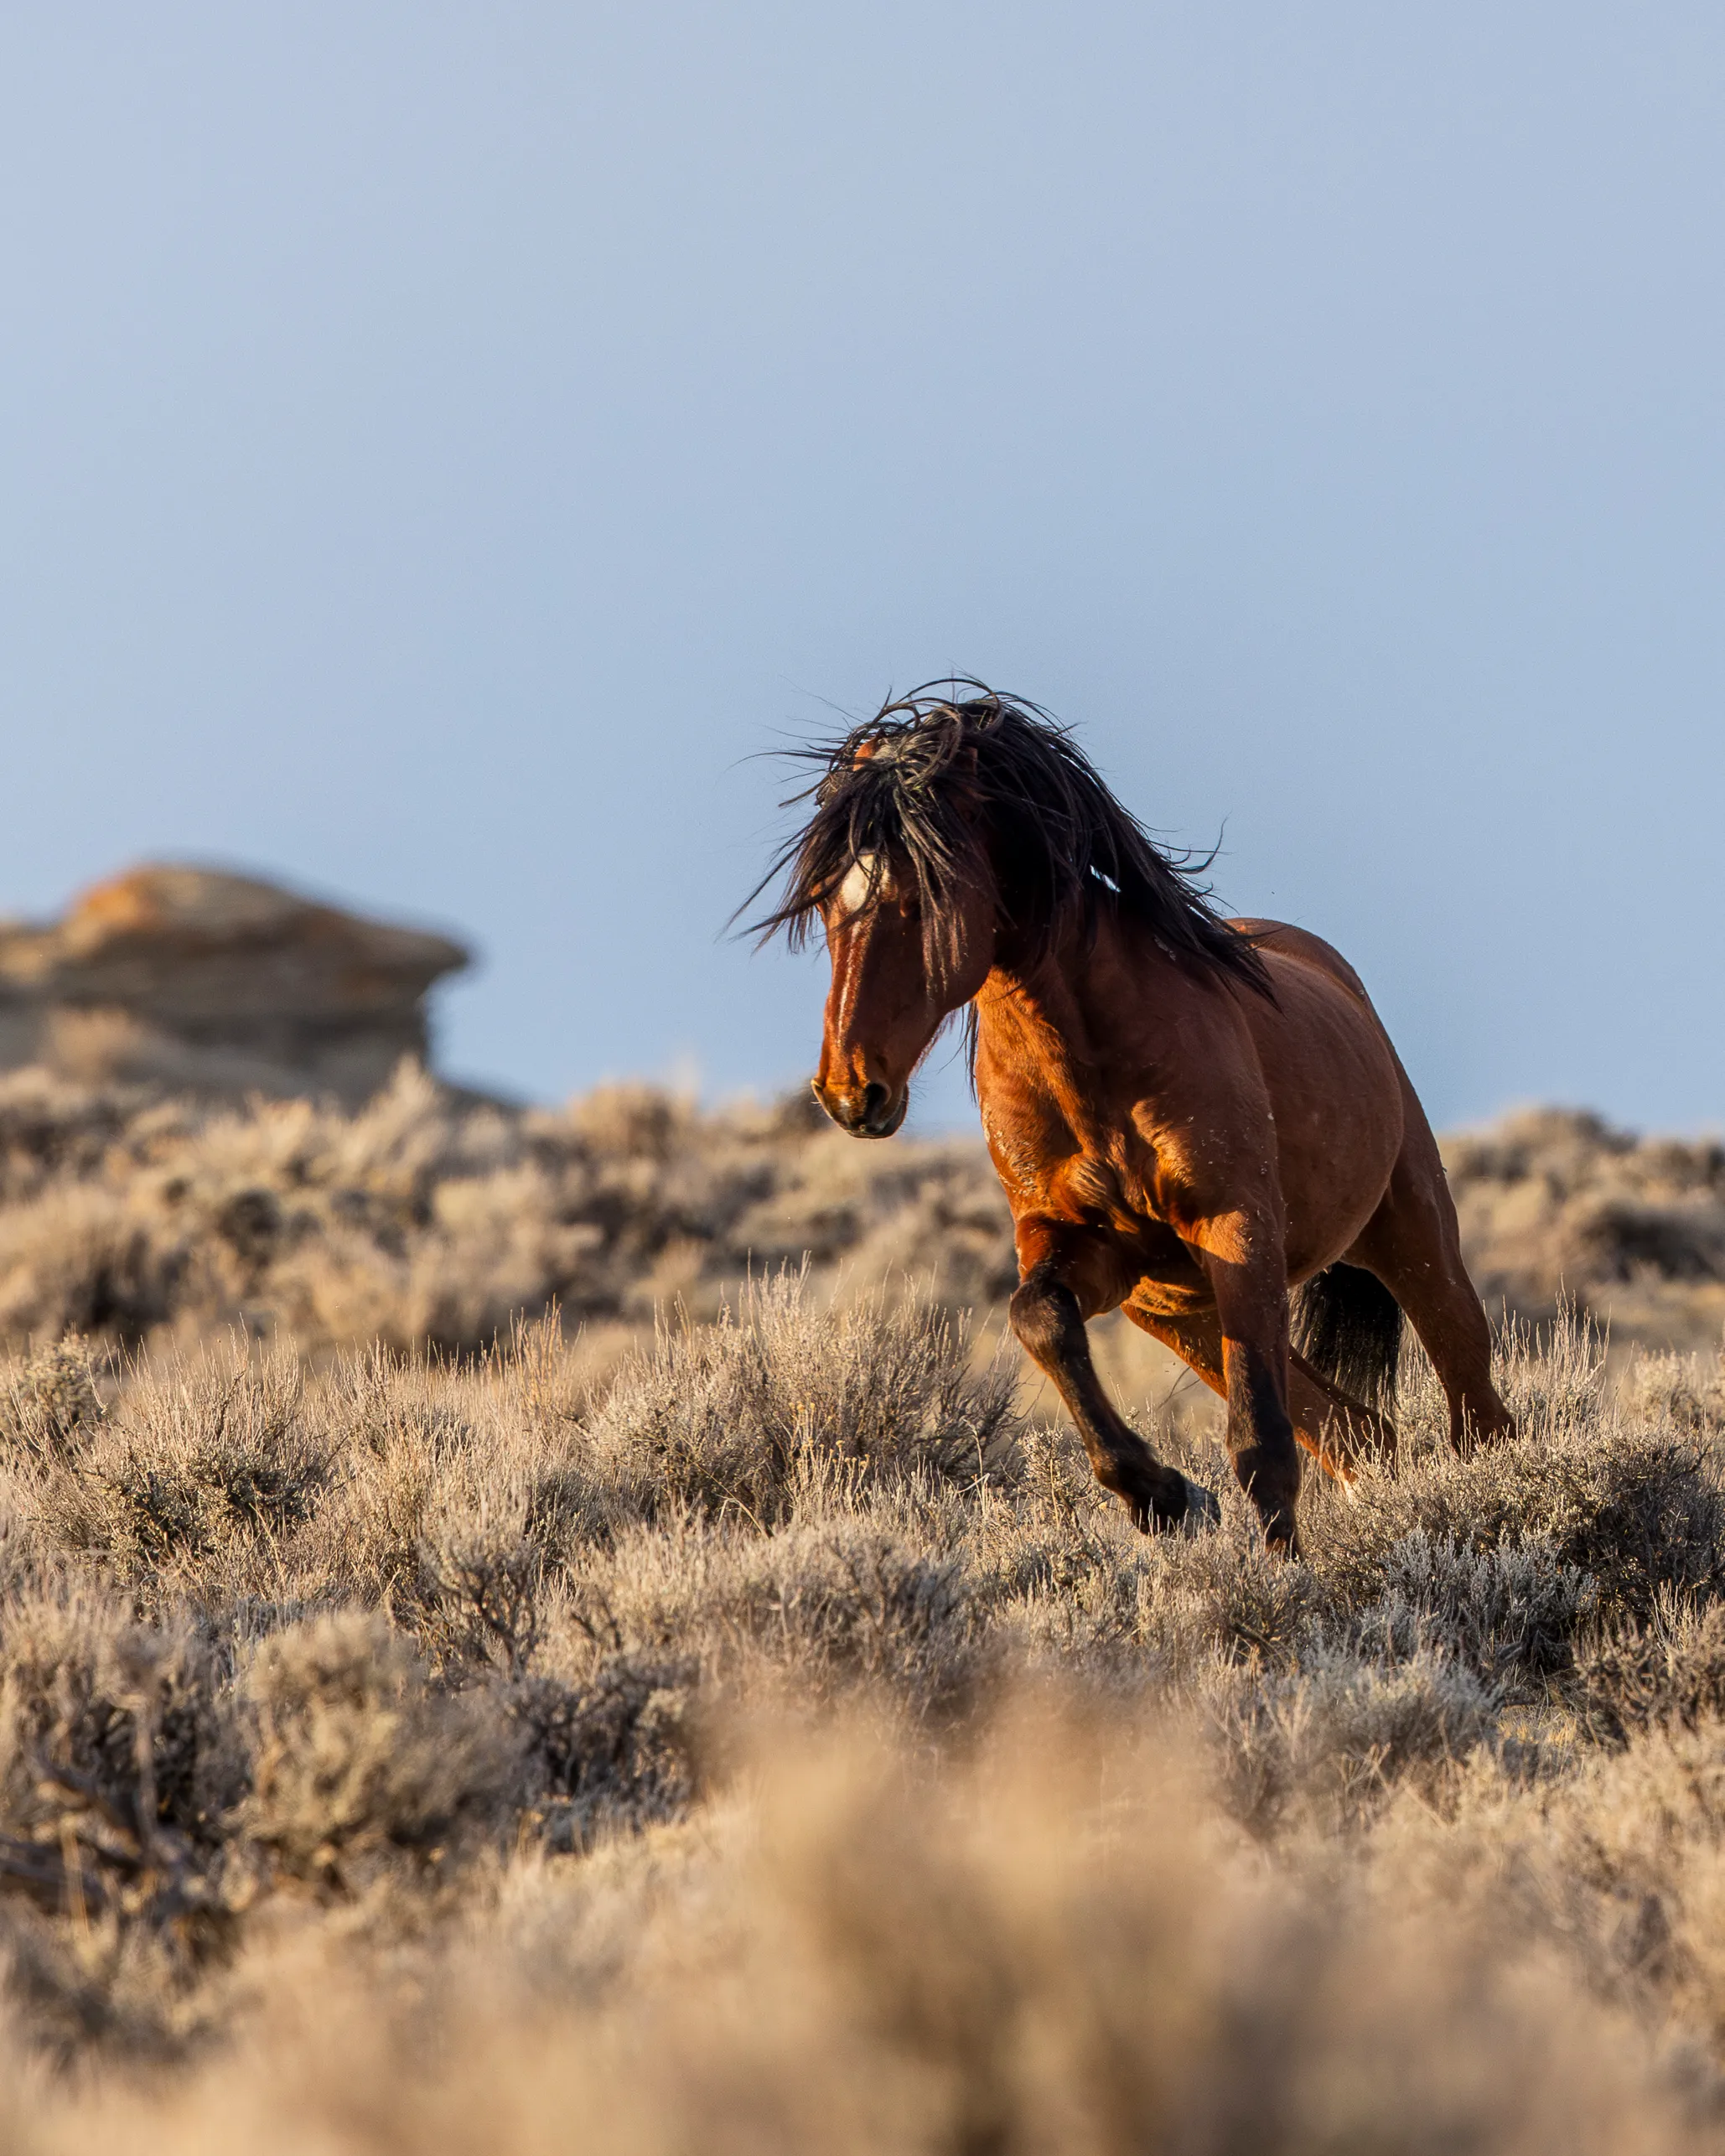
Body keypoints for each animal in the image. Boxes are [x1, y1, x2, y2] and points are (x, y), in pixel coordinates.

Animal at [751, 685, 1515, 1558]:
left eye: (921, 899)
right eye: (825, 905)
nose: (851, 1092)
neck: (1089, 1067)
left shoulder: (1238, 1231)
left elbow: (1260, 1445)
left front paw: (1269, 1574)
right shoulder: (1086, 1248)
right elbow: (1039, 1319)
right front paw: (1161, 1495)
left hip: (1411, 1245)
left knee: (1476, 1416)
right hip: (1182, 1314)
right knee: (1360, 1436)